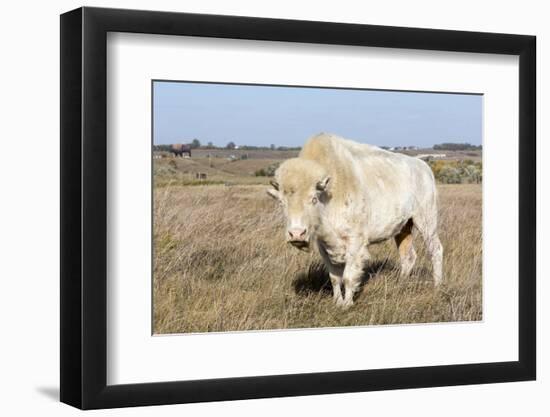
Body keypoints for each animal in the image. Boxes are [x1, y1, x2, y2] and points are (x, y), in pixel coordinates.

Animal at [270, 132, 446, 308]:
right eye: (282, 202)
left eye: (313, 199)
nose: (296, 234)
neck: (329, 193)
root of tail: (424, 168)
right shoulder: (324, 244)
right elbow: (334, 277)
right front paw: (337, 302)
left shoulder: (355, 242)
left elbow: (348, 276)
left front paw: (347, 304)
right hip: (404, 228)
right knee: (408, 256)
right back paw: (400, 285)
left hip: (426, 220)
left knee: (435, 249)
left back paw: (437, 286)